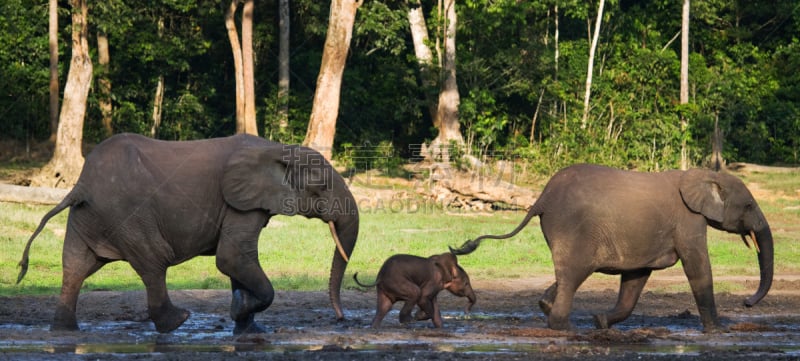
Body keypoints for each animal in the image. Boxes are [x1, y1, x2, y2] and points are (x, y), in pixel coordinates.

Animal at [16, 133, 360, 334]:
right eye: (321, 186)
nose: (342, 319)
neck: (277, 150)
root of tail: (80, 185)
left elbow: (237, 262)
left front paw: (248, 329)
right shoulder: (239, 202)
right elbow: (232, 257)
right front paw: (240, 311)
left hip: (89, 216)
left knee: (75, 267)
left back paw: (64, 332)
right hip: (128, 214)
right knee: (154, 262)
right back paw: (177, 321)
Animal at [456, 163, 776, 332]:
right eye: (749, 205)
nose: (746, 302)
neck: (703, 174)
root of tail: (542, 198)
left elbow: (636, 279)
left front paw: (600, 322)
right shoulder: (689, 221)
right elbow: (697, 267)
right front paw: (717, 330)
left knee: (567, 274)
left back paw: (547, 308)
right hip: (572, 228)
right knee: (574, 274)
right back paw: (563, 327)